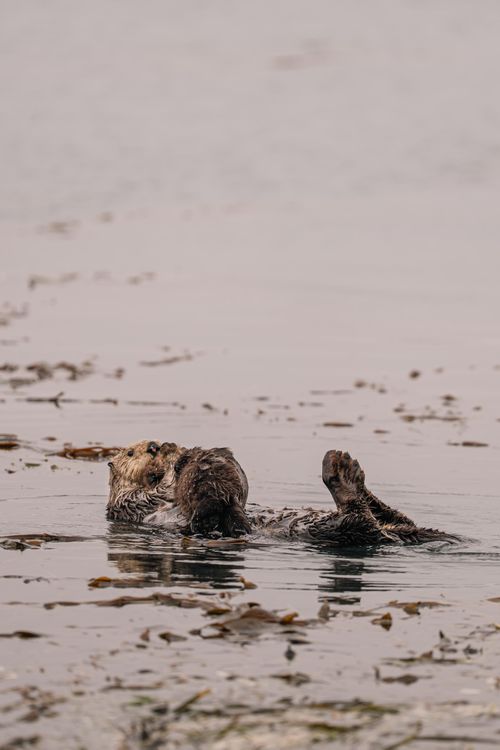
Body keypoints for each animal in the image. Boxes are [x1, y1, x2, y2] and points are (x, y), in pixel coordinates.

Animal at [106, 444, 454, 545]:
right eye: (131, 452)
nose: (155, 446)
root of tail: (397, 535)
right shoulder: (132, 503)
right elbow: (157, 492)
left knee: (392, 515)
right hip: (339, 529)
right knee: (360, 518)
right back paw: (341, 471)